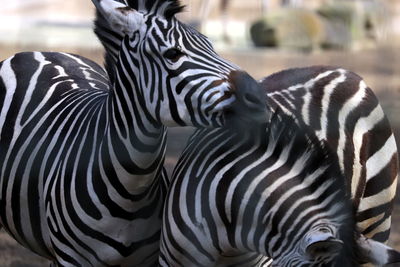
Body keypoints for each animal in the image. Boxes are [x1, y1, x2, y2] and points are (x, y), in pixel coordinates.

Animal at [0, 0, 268, 266]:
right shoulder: (71, 259)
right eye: (173, 54)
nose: (260, 97)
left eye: (211, 46)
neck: (132, 188)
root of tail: (39, 52)